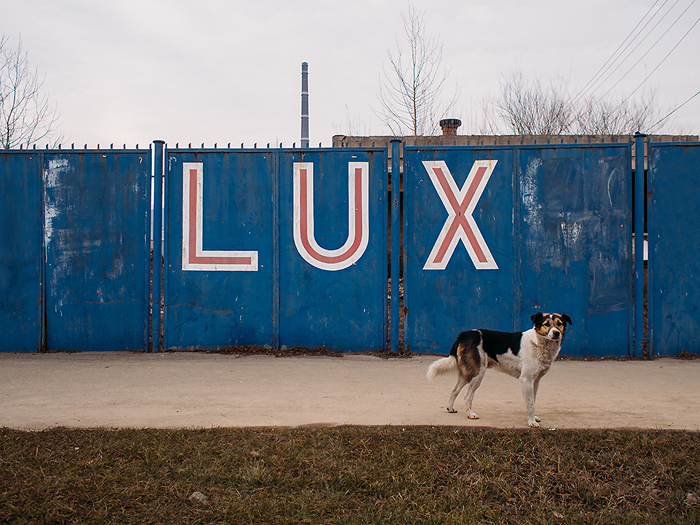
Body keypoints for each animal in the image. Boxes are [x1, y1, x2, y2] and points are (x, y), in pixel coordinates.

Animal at [426, 312, 571, 427]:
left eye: (559, 323)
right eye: (546, 324)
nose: (556, 333)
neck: (538, 342)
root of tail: (464, 334)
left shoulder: (535, 381)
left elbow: (533, 401)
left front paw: (533, 418)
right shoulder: (526, 379)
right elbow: (530, 404)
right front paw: (531, 422)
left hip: (467, 373)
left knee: (454, 389)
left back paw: (450, 408)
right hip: (478, 373)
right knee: (467, 395)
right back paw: (470, 414)